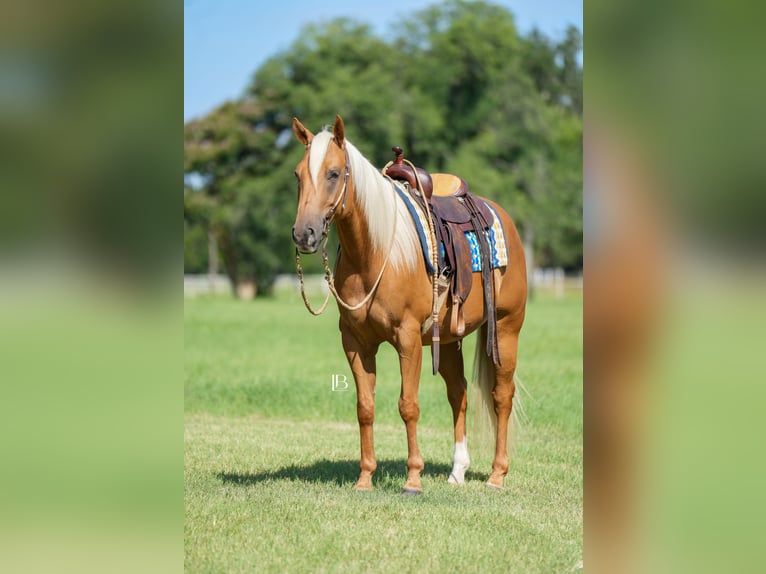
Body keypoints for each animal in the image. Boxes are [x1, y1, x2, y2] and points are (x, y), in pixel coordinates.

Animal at [291, 115, 526, 493]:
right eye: (298, 175)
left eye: (333, 173)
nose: (304, 234)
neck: (372, 254)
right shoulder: (355, 342)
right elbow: (365, 407)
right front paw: (365, 479)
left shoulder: (408, 338)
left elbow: (408, 405)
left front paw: (413, 479)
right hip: (448, 340)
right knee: (458, 394)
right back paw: (457, 471)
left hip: (506, 328)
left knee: (502, 395)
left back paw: (496, 475)